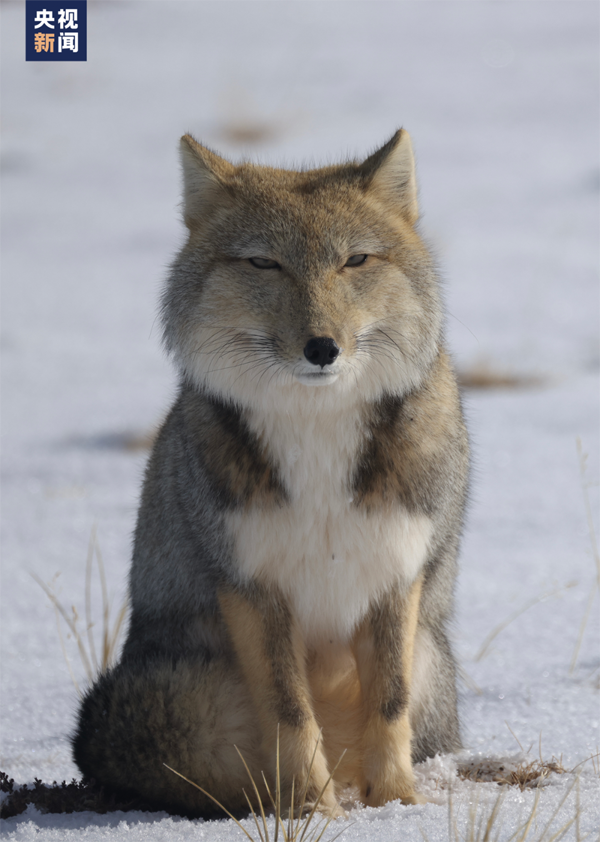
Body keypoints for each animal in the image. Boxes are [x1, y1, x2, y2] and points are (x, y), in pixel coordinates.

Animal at [72, 130, 472, 812]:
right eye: (264, 264)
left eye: (354, 261)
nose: (322, 348)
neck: (318, 441)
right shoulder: (253, 588)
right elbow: (289, 715)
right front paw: (313, 811)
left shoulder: (396, 576)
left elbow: (388, 707)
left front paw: (397, 806)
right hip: (176, 694)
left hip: (432, 666)